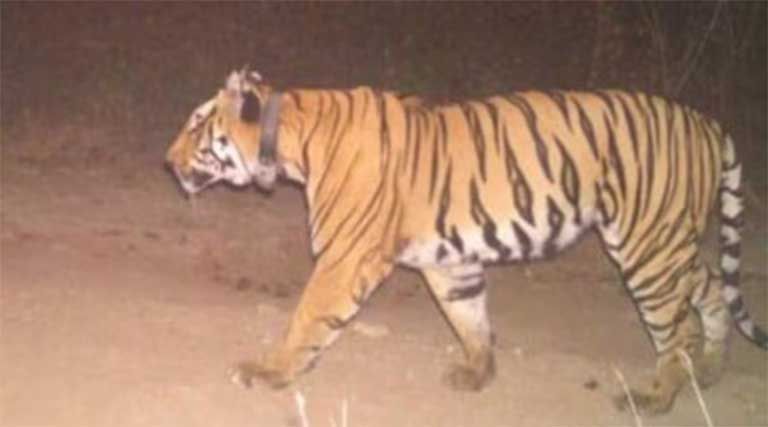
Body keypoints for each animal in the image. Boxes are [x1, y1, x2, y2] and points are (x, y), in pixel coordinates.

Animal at [165, 69, 767, 415]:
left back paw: (657, 396)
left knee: (677, 326)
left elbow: (307, 318)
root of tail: (708, 123)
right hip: (669, 241)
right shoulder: (449, 260)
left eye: (197, 126)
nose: (167, 162)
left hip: (647, 246)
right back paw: (710, 370)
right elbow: (469, 316)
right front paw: (478, 373)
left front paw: (269, 371)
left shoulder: (343, 257)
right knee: (711, 291)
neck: (291, 136)